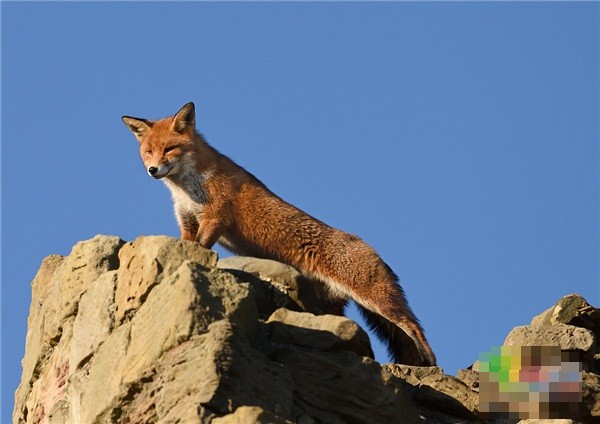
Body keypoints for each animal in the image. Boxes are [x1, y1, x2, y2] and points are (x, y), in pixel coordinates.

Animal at [123, 102, 436, 364]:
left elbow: (203, 244)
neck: (186, 189)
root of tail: (371, 247)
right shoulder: (187, 222)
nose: (153, 170)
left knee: (413, 327)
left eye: (169, 149)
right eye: (148, 152)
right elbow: (190, 243)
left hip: (378, 300)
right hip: (330, 307)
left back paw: (429, 362)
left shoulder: (215, 218)